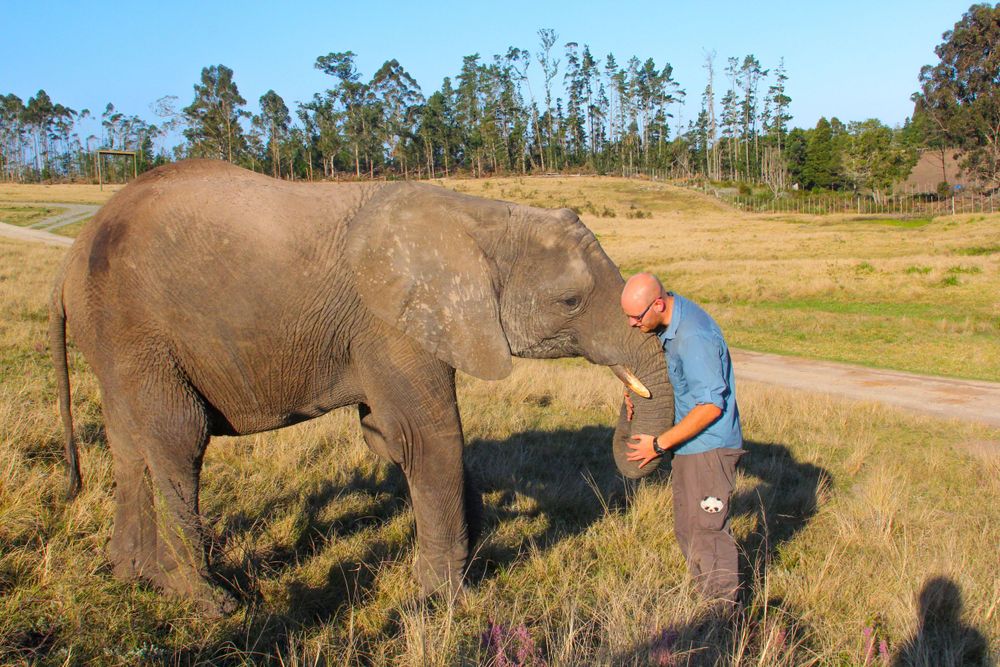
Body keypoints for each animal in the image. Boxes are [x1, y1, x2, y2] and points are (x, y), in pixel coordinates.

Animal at [49, 159, 673, 614]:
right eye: (570, 301)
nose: (632, 424)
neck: (481, 220)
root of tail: (74, 252)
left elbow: (390, 438)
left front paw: (477, 555)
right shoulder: (389, 323)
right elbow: (429, 437)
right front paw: (446, 601)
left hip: (113, 339)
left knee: (129, 446)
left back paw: (136, 577)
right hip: (139, 334)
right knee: (177, 442)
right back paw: (210, 603)